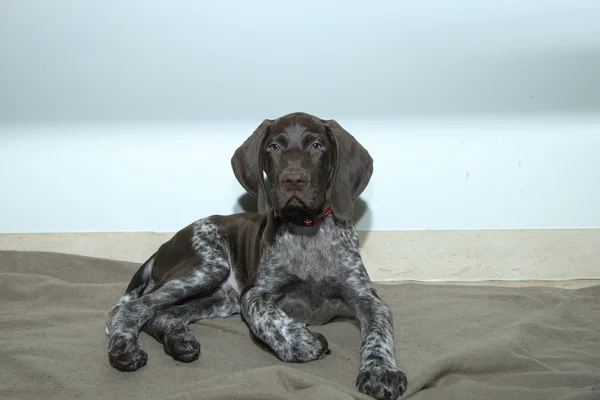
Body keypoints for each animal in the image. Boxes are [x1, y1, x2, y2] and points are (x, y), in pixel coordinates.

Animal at [105, 111, 410, 398]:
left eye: (317, 146)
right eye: (274, 147)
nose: (293, 179)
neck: (307, 230)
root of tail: (162, 247)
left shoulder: (367, 298)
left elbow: (379, 331)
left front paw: (381, 370)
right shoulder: (254, 294)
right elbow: (266, 315)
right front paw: (304, 342)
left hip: (221, 298)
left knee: (161, 313)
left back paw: (178, 340)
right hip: (208, 267)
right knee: (130, 308)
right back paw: (124, 349)